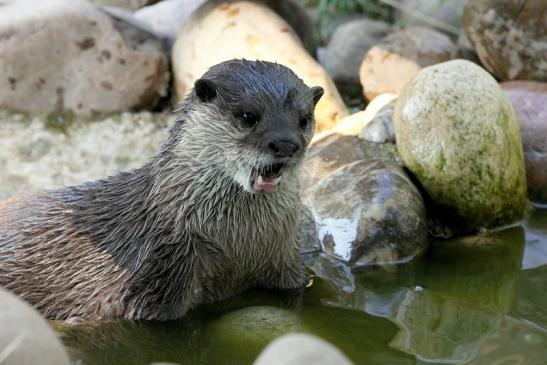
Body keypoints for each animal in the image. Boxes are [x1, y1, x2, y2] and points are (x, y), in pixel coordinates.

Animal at [0, 59, 324, 318]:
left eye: (304, 119)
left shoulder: (287, 265)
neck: (237, 245)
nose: (284, 144)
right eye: (248, 117)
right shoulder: (160, 276)